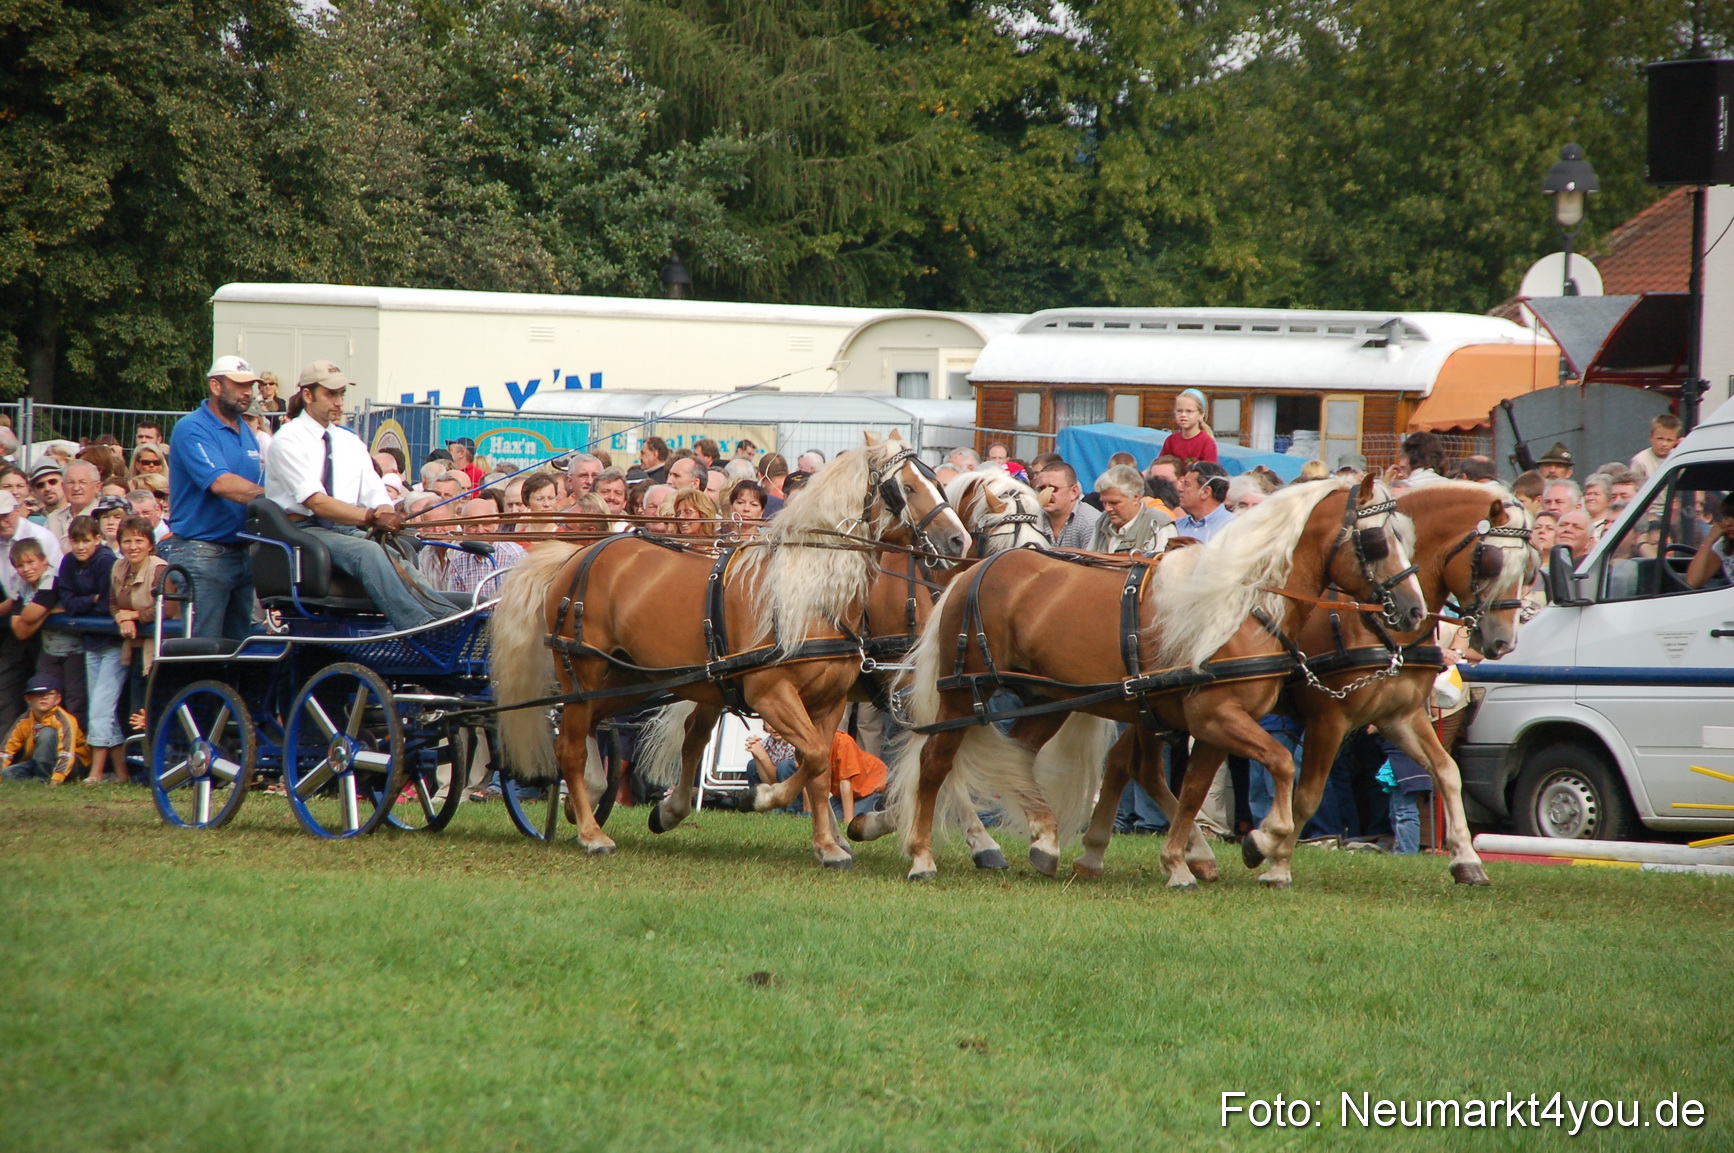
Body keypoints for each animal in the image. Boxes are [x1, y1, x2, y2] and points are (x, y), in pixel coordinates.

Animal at [488, 433, 969, 865]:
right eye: (906, 488)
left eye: (936, 480)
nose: (959, 542)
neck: (809, 597)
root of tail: (576, 556)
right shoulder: (770, 694)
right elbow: (814, 756)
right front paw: (765, 797)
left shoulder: (830, 701)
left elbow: (819, 767)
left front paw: (828, 846)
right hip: (583, 670)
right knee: (570, 744)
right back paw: (592, 833)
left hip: (630, 677)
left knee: (596, 727)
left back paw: (597, 802)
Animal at [884, 475, 1427, 888]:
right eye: (1379, 541)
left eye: (1407, 538)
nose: (1414, 611)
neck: (1239, 604)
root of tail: (977, 569)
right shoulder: (1217, 716)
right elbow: (1280, 766)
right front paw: (1261, 840)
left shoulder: (1213, 726)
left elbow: (1194, 790)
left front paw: (1183, 862)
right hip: (961, 694)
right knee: (936, 763)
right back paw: (922, 856)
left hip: (1048, 696)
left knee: (1019, 755)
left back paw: (1046, 842)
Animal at [1070, 480, 1535, 886]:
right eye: (1491, 561)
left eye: (1529, 569)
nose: (1503, 641)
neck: (1368, 622)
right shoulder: (1329, 717)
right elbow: (1307, 793)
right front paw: (1272, 858)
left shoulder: (1398, 716)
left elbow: (1447, 771)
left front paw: (1467, 860)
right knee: (1140, 769)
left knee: (1128, 766)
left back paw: (1111, 854)